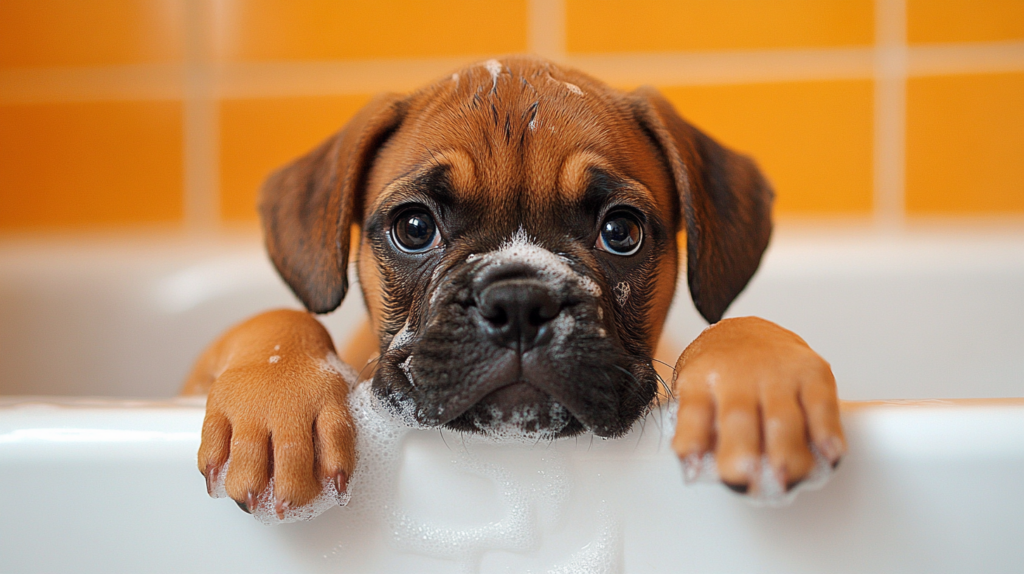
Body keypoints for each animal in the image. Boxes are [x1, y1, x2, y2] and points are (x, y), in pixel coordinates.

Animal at [182, 56, 839, 517]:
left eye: (620, 231)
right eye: (414, 228)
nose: (520, 301)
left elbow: (733, 326)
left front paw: (756, 382)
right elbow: (275, 320)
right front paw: (277, 404)